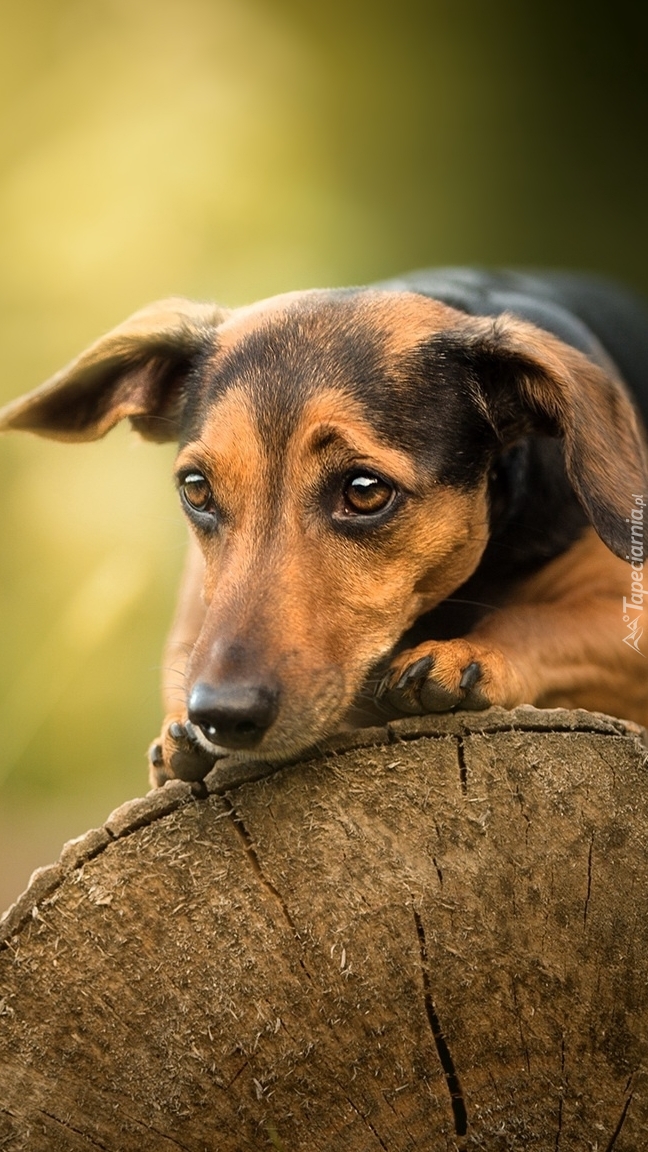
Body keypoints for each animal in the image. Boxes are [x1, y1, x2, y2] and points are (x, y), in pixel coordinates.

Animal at [1, 269, 645, 787]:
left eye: (364, 490)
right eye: (196, 489)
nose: (221, 715)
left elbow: (537, 621)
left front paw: (471, 655)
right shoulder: (193, 621)